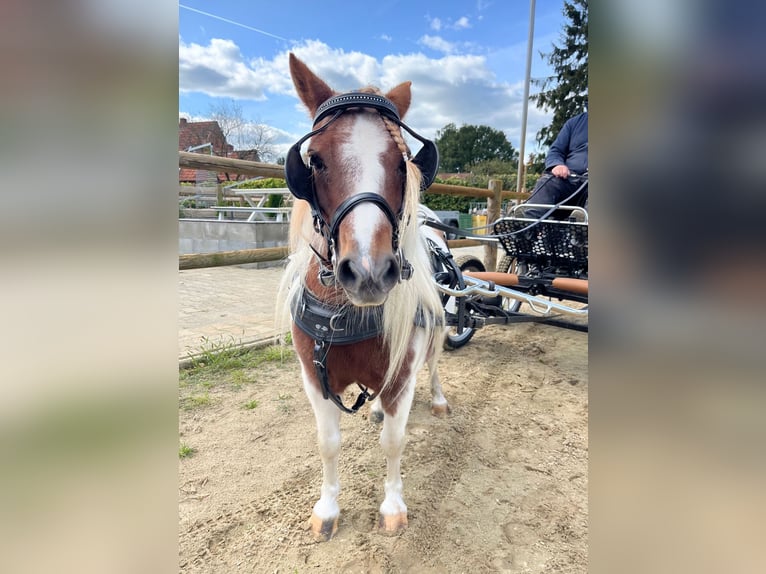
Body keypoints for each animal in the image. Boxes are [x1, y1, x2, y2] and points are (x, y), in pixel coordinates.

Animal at [280, 55, 450, 544]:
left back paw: (438, 399)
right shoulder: (315, 380)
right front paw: (327, 509)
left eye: (403, 161)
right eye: (314, 160)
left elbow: (394, 441)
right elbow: (327, 443)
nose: (369, 271)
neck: (347, 315)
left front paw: (393, 507)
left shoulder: (401, 376)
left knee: (435, 365)